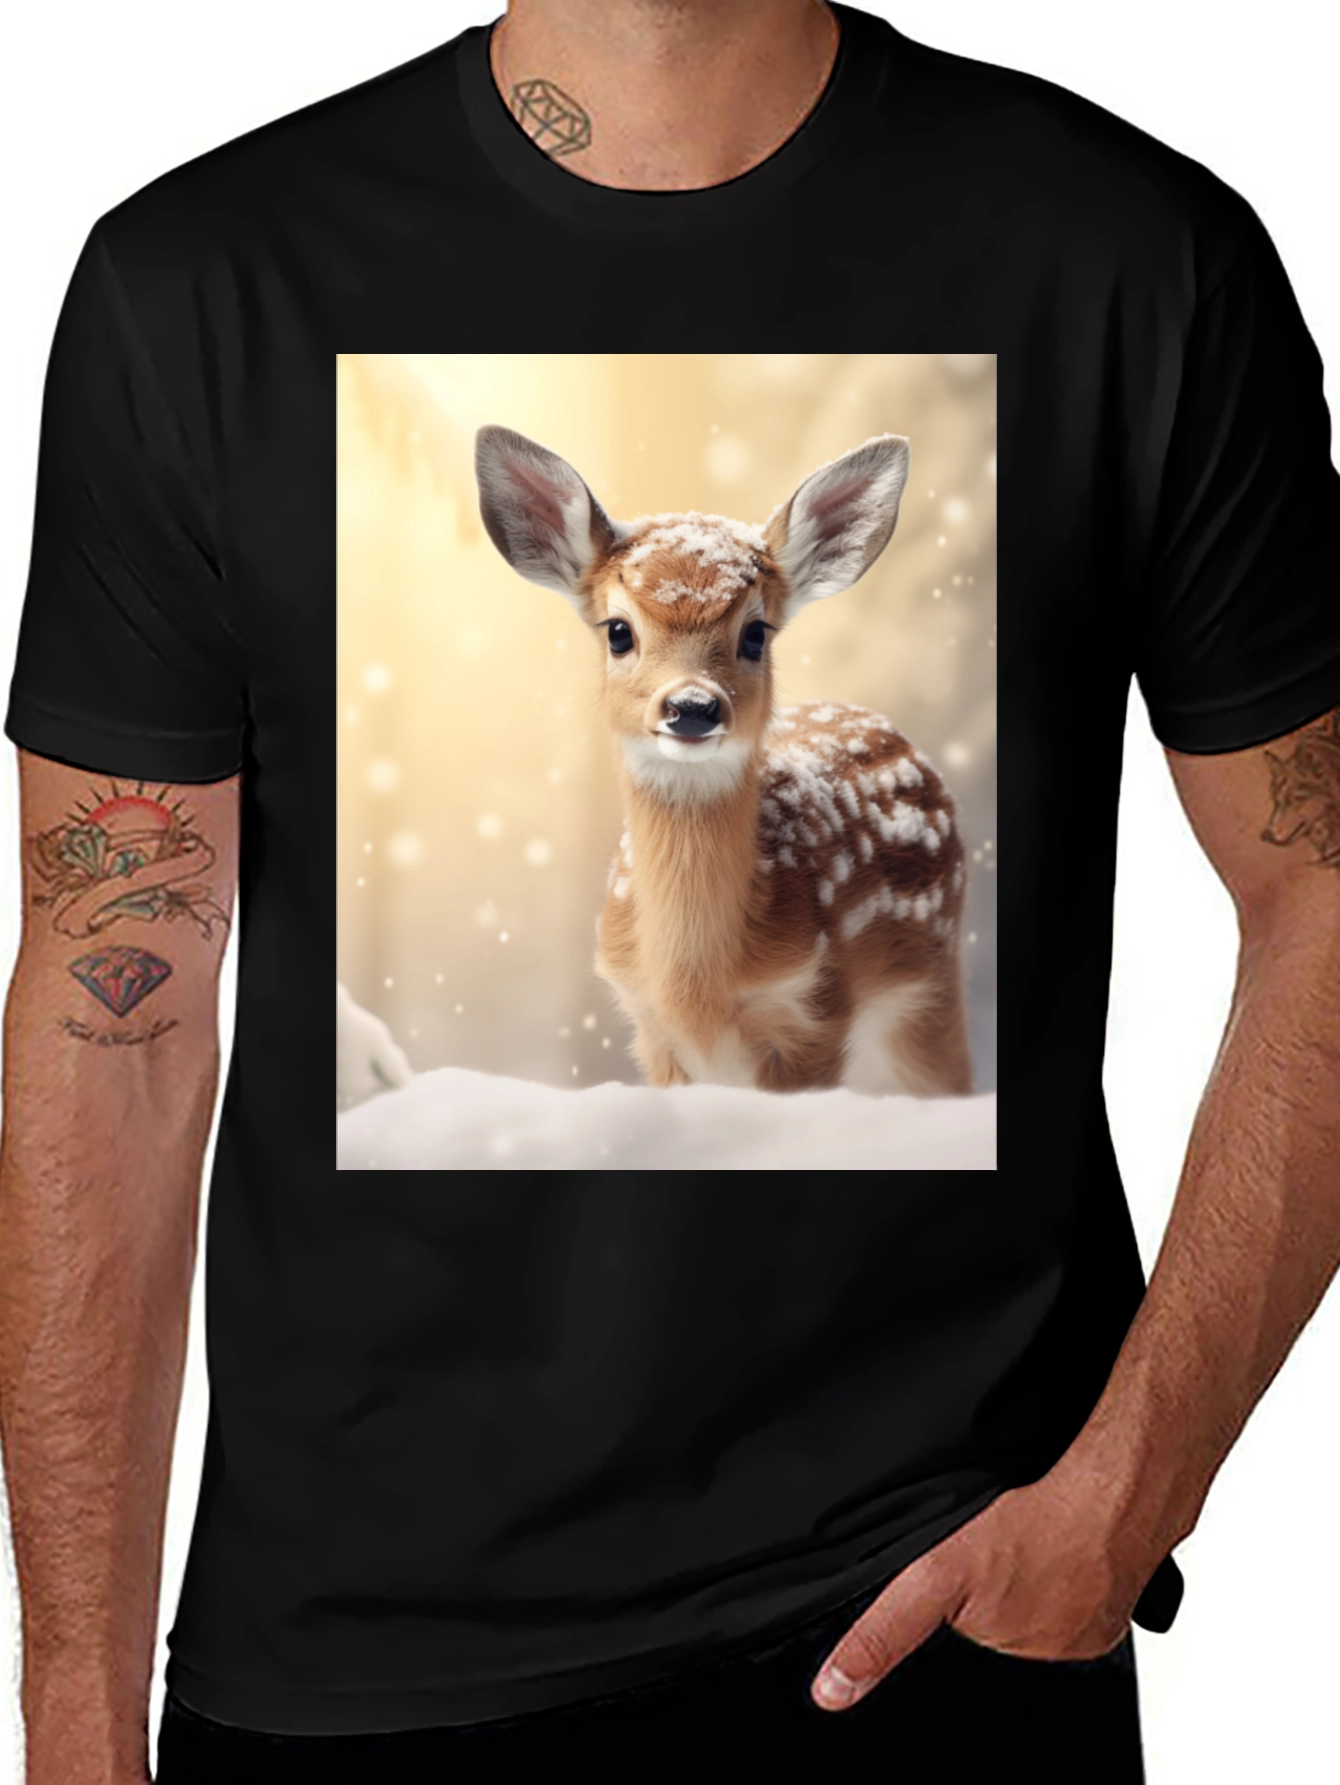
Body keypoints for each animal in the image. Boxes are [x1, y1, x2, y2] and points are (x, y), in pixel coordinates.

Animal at [474, 425, 973, 1097]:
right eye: (618, 631)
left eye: (756, 633)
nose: (691, 706)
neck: (697, 986)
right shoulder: (652, 1030)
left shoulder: (815, 1011)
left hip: (931, 992)